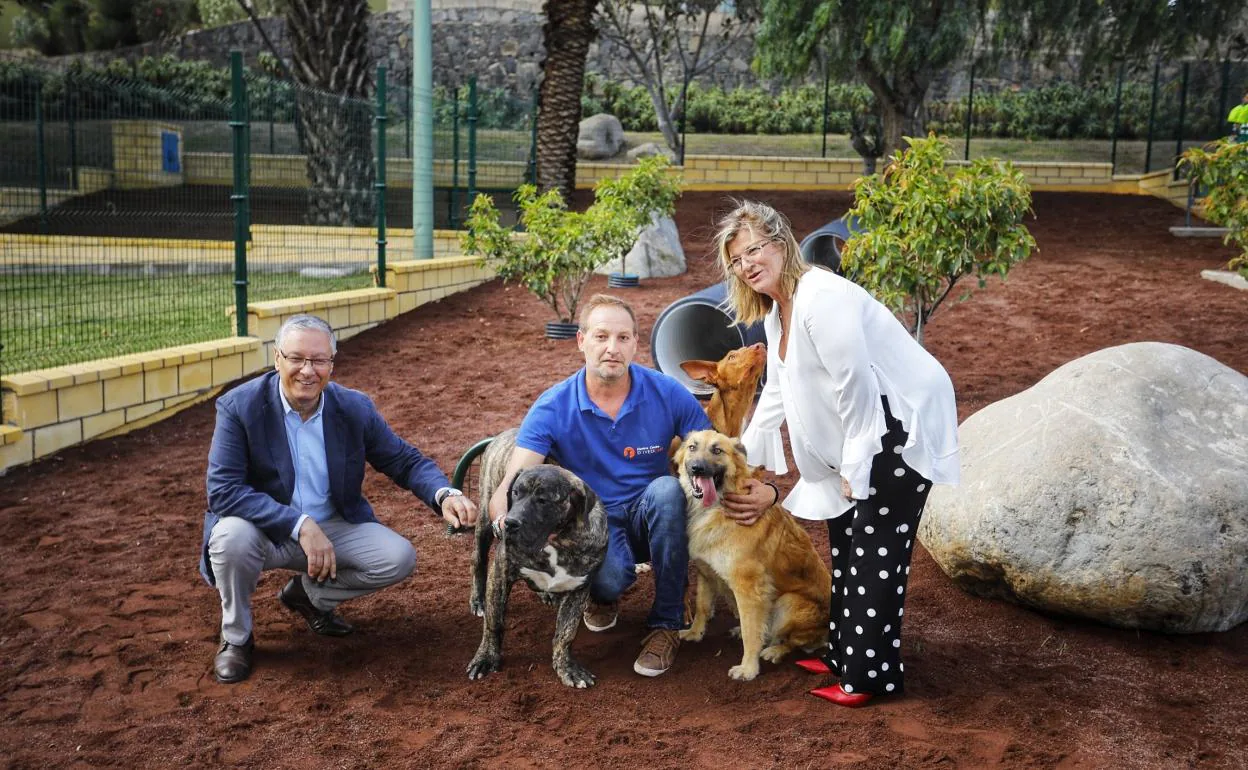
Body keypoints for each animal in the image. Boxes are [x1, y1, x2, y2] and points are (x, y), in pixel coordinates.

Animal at [466, 429, 606, 688]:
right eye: (515, 493)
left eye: (543, 500)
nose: (510, 523)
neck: (556, 541)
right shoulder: (500, 571)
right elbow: (494, 622)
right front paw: (486, 657)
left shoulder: (579, 588)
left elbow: (565, 633)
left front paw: (566, 667)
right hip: (484, 520)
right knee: (477, 561)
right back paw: (478, 601)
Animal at [673, 429, 828, 683]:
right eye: (692, 447)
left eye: (717, 450)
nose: (697, 468)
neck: (714, 508)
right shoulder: (706, 573)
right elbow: (702, 606)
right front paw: (695, 633)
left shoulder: (748, 588)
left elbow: (751, 631)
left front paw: (748, 669)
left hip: (787, 603)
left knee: (792, 641)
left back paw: (775, 650)